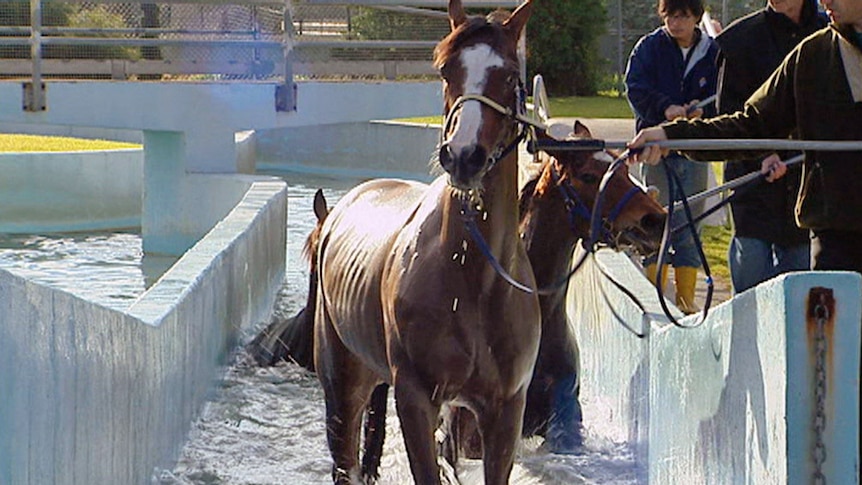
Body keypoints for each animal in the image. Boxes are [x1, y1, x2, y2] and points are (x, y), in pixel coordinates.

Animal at [312, 1, 540, 482]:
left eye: (510, 73)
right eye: (445, 69)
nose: (464, 156)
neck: (474, 279)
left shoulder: (505, 409)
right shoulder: (415, 398)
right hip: (343, 385)